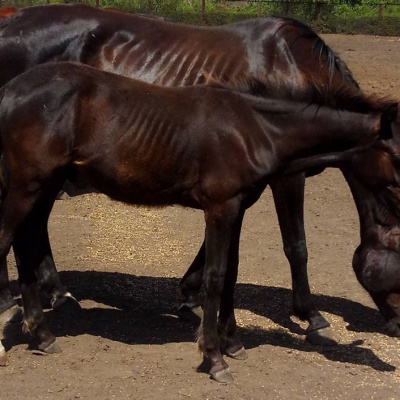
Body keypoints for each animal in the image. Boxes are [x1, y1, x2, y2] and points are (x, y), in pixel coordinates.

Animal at [0, 2, 396, 344]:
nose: (396, 324)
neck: (292, 70)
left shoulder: (236, 183)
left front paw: (191, 295)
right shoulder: (285, 177)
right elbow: (295, 244)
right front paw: (312, 316)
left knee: (34, 224)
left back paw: (57, 293)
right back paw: (9, 301)